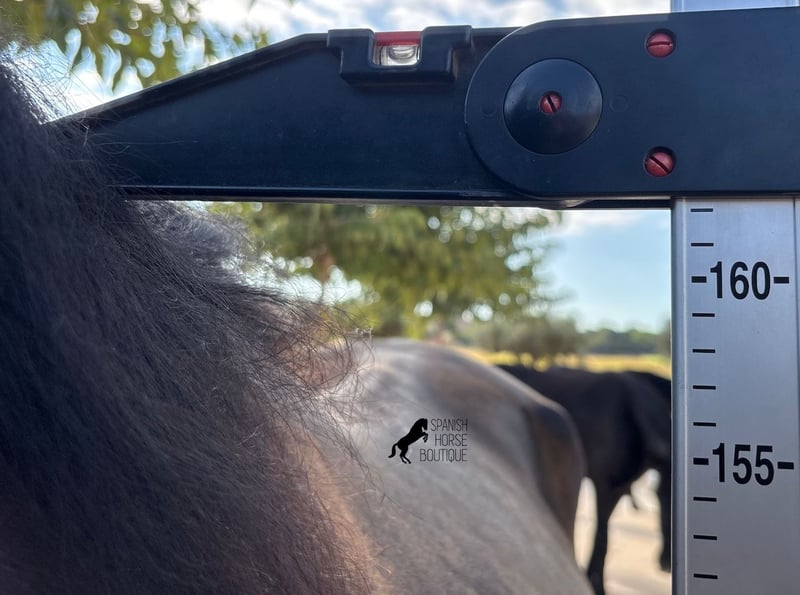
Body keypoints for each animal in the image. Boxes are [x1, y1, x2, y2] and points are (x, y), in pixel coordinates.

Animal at [498, 364, 672, 595]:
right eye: (659, 494)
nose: (666, 563)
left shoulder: (619, 487)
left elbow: (602, 537)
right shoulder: (603, 484)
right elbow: (602, 535)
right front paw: (595, 583)